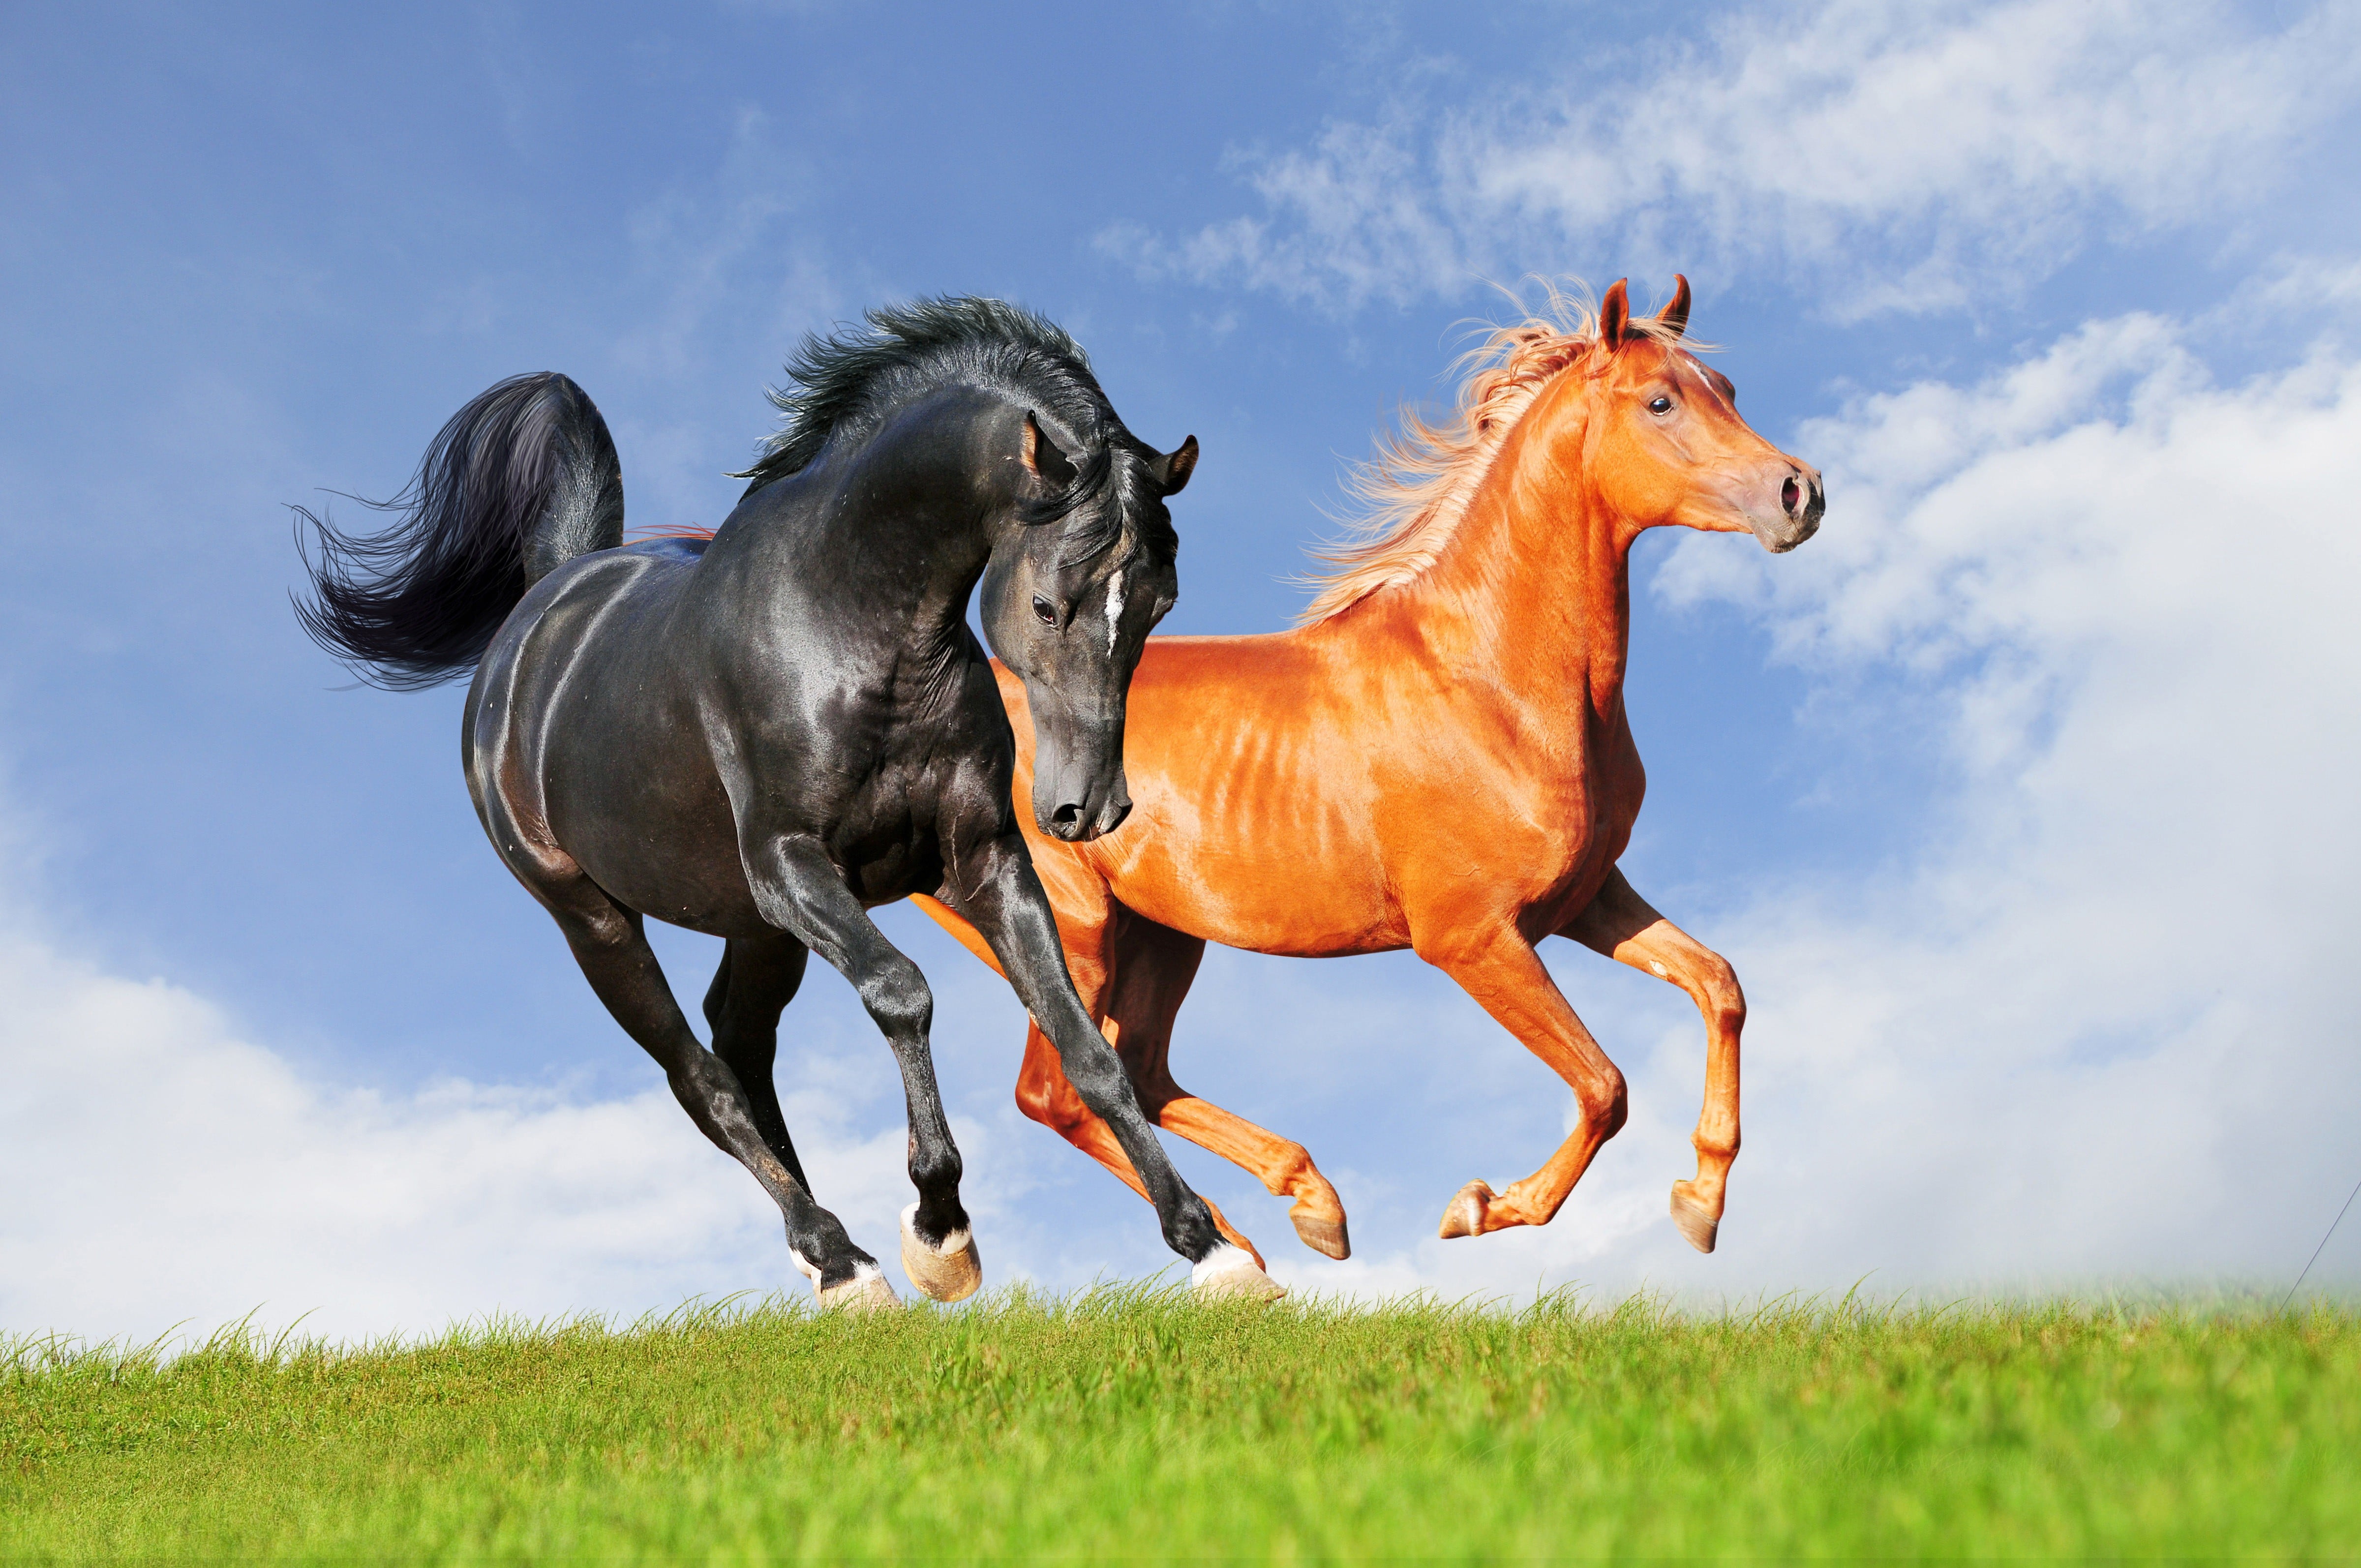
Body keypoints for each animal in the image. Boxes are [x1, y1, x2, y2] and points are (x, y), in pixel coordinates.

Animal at [296, 297, 1284, 1307]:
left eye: (1161, 603)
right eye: (1049, 604)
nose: (1088, 809)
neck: (851, 627)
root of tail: (541, 614)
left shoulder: (984, 861)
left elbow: (1087, 1044)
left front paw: (1212, 1247)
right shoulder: (792, 865)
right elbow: (903, 993)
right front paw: (940, 1233)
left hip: (753, 925)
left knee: (739, 1045)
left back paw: (829, 1258)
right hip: (596, 919)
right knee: (701, 1077)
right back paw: (842, 1259)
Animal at [914, 278, 1823, 1267]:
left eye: (1725, 388)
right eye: (1660, 401)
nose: (1800, 492)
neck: (1491, 682)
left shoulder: (1584, 898)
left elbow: (1720, 985)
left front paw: (1701, 1200)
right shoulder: (1471, 939)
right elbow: (1604, 1085)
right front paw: (1483, 1206)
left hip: (1161, 934)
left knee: (1141, 1071)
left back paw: (1303, 1210)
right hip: (1069, 930)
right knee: (1063, 1091)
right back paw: (1236, 1249)